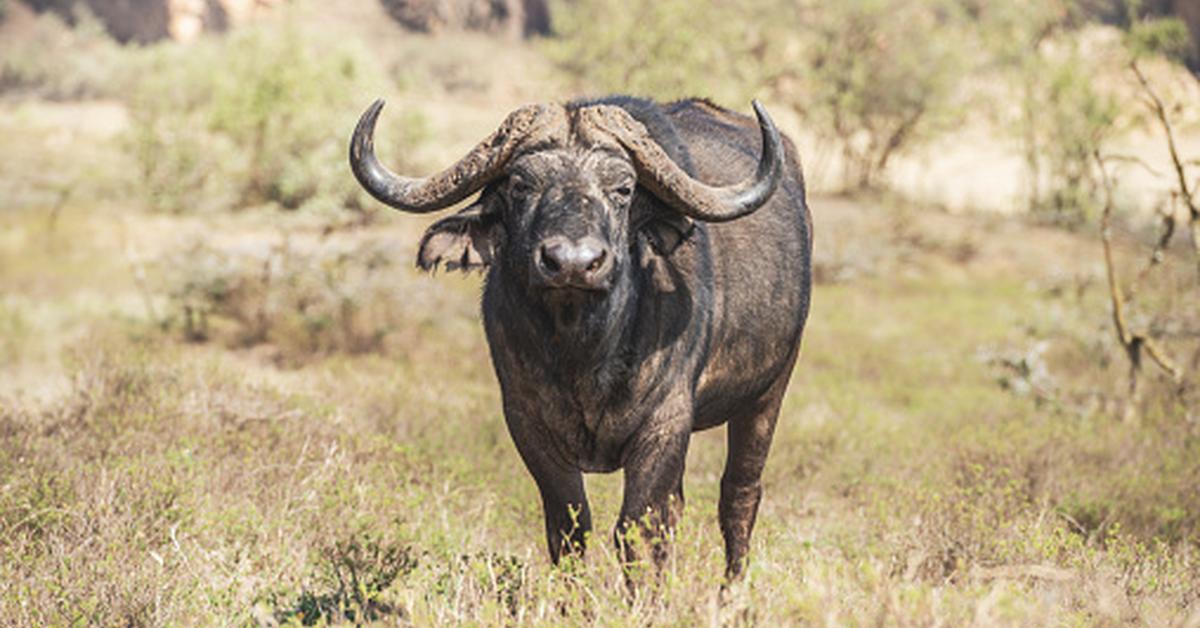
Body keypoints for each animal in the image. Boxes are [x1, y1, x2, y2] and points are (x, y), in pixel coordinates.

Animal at [350, 93, 816, 581]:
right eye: (520, 185)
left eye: (624, 189)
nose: (573, 263)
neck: (583, 352)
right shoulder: (527, 424)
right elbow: (570, 527)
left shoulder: (665, 424)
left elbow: (638, 530)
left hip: (768, 392)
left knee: (739, 495)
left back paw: (732, 588)